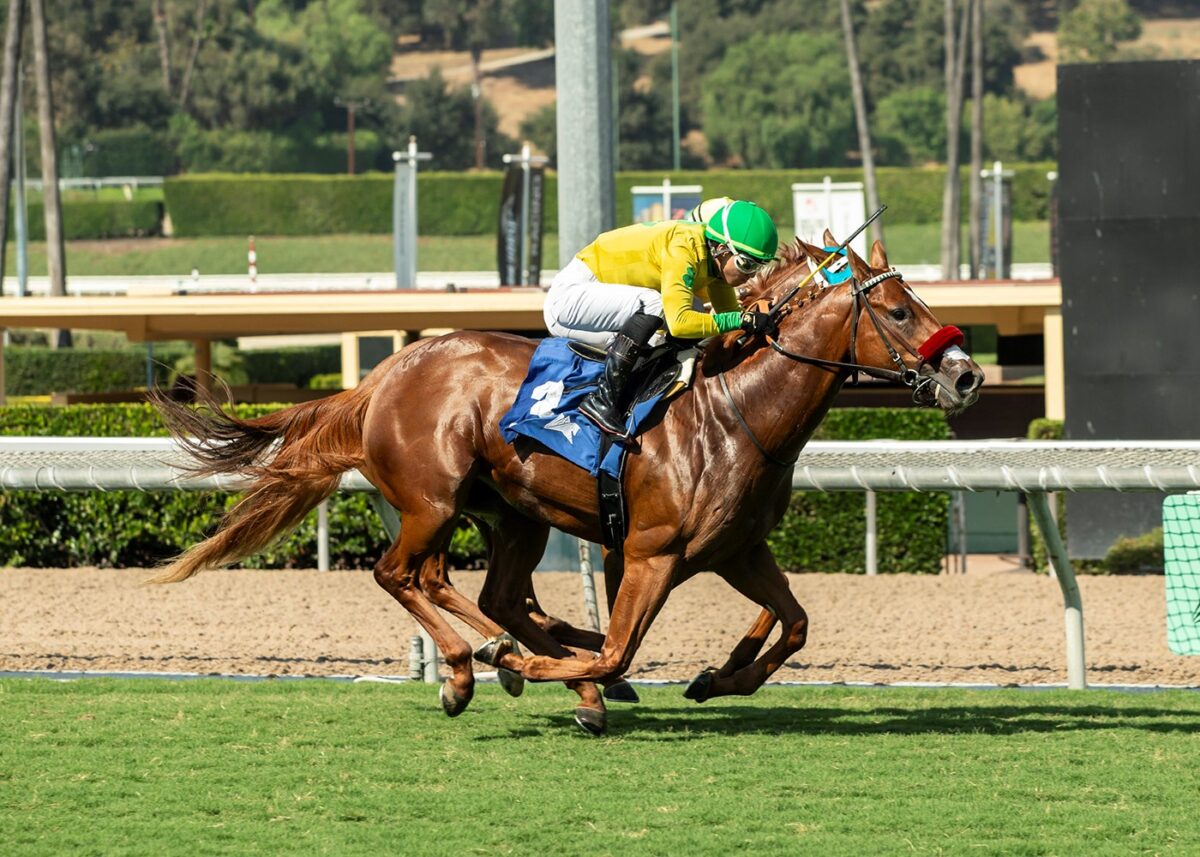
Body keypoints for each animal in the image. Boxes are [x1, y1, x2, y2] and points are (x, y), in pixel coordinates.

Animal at [152, 235, 974, 734]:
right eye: (898, 309)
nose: (965, 374)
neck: (736, 413)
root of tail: (385, 373)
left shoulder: (736, 549)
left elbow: (796, 623)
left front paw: (716, 676)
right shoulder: (645, 553)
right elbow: (618, 648)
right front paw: (553, 671)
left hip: (514, 513)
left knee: (490, 594)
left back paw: (514, 660)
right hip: (431, 499)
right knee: (402, 574)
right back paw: (474, 668)